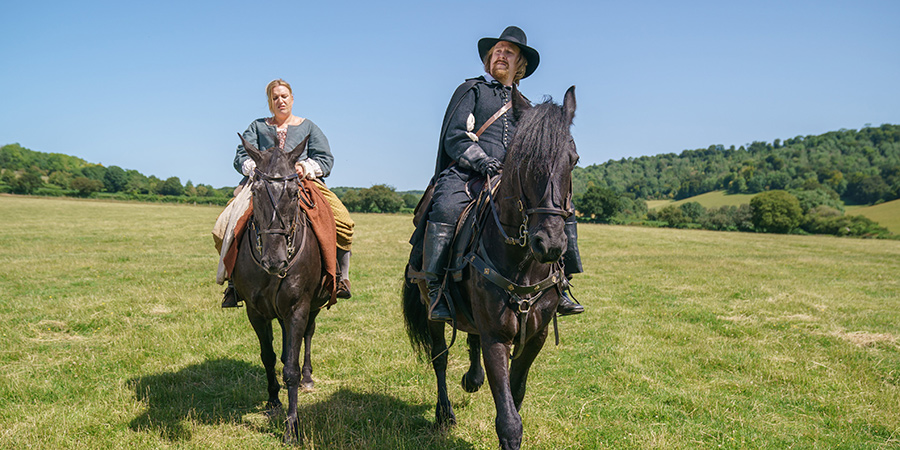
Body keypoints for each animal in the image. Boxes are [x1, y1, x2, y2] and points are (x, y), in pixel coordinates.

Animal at [232, 134, 330, 442]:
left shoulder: (299, 308)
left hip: (312, 307)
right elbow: (269, 357)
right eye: (255, 191)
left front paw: (292, 426)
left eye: (295, 192)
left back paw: (308, 378)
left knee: (308, 336)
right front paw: (273, 400)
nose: (274, 261)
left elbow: (291, 369)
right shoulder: (256, 312)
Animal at [404, 86, 580, 448]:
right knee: (440, 357)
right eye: (524, 159)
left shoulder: (537, 335)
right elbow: (509, 420)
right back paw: (444, 413)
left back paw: (472, 378)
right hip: (431, 310)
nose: (550, 244)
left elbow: (515, 393)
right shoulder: (496, 337)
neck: (522, 263)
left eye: (574, 159)